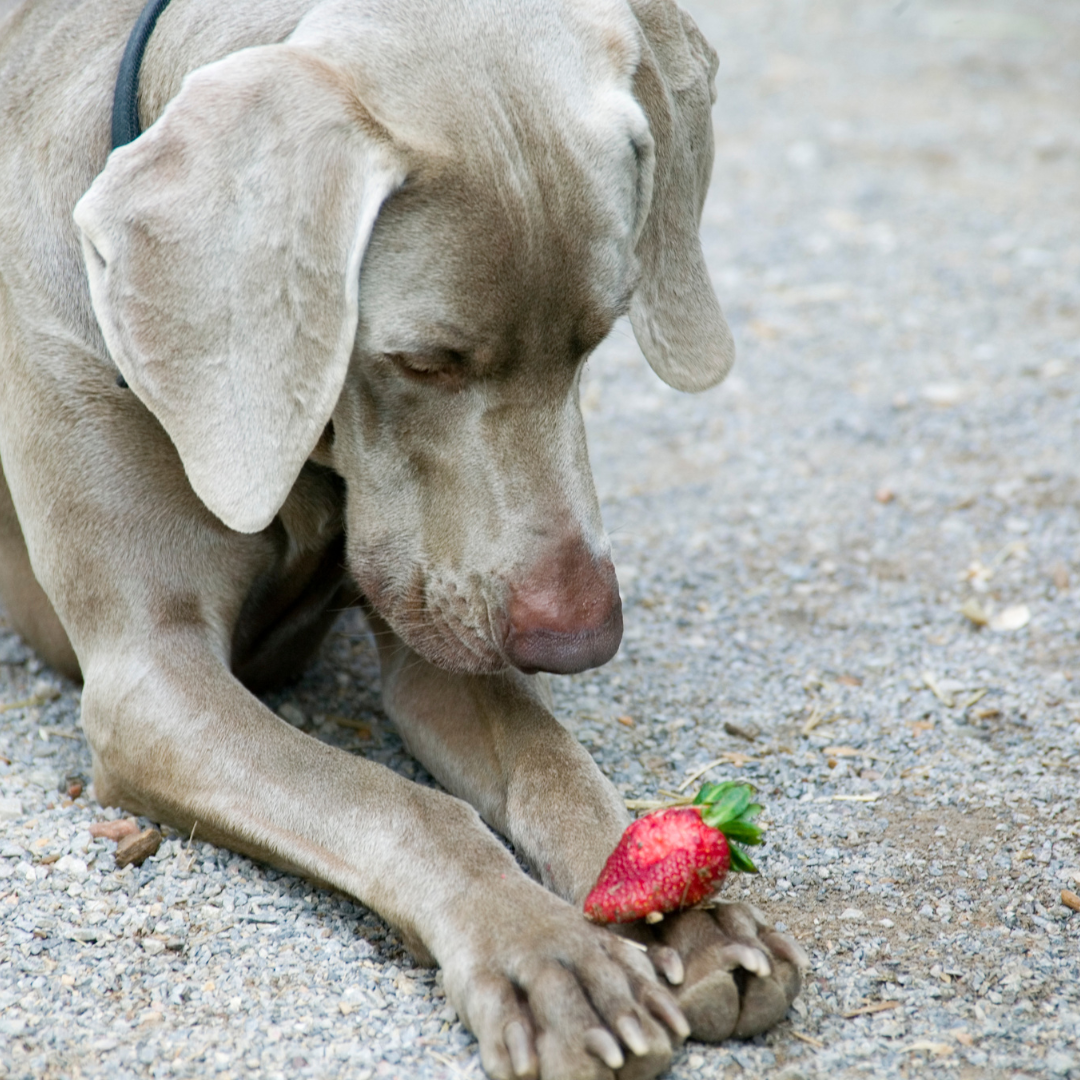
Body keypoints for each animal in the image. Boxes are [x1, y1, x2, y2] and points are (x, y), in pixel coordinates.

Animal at [0, 0, 807, 1075]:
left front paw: (687, 908)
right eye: (425, 361)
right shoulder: (151, 684)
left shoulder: (445, 629)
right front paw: (546, 950)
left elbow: (552, 762)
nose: (579, 642)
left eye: (598, 337)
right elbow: (400, 805)